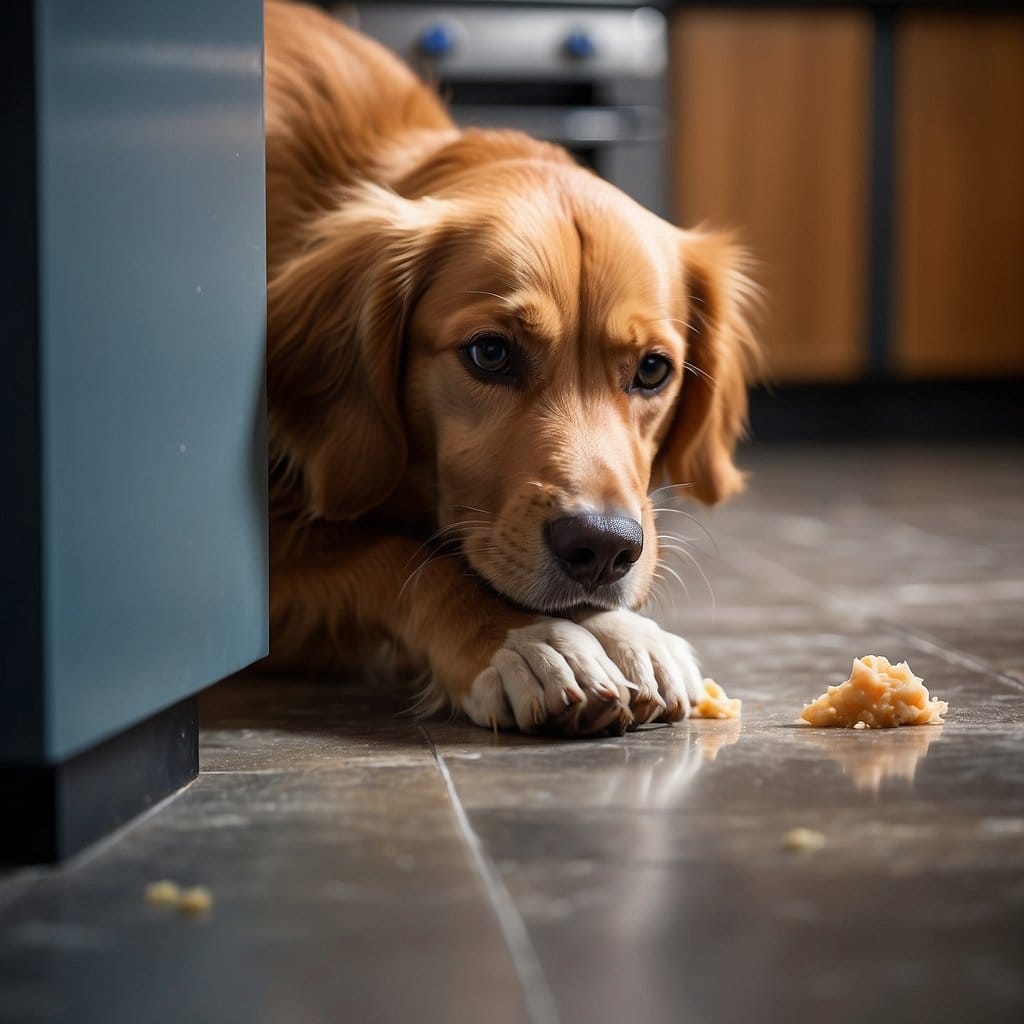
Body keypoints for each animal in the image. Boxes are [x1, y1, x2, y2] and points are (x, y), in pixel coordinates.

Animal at [262, 0, 761, 737]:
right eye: (490, 353)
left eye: (652, 370)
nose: (603, 548)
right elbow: (391, 555)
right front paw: (524, 641)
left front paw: (624, 635)